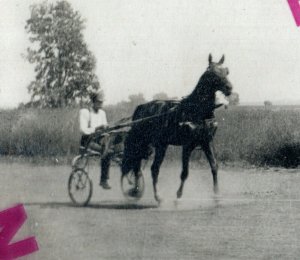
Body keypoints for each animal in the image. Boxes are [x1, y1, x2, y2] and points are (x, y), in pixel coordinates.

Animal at [120, 53, 233, 202]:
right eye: (212, 73)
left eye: (226, 71)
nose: (229, 88)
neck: (197, 110)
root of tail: (141, 108)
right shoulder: (188, 145)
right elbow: (185, 172)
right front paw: (178, 195)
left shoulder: (206, 141)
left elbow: (214, 166)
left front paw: (216, 193)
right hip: (150, 144)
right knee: (148, 168)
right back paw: (156, 196)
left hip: (158, 145)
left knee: (142, 166)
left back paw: (141, 191)